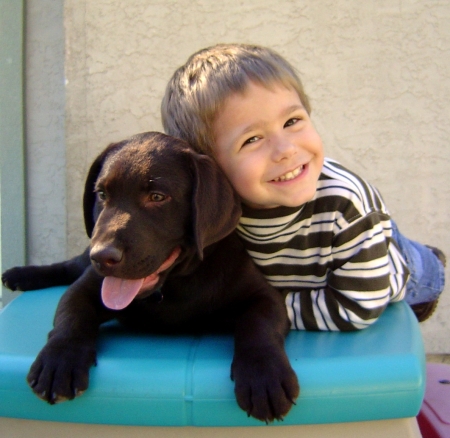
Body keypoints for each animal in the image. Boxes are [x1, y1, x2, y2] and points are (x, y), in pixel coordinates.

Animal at [3, 132, 300, 422]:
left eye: (157, 197)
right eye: (102, 194)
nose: (102, 256)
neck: (173, 284)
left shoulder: (264, 296)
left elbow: (259, 325)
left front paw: (264, 377)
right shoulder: (87, 287)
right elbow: (71, 315)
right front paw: (58, 361)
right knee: (69, 266)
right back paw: (21, 275)